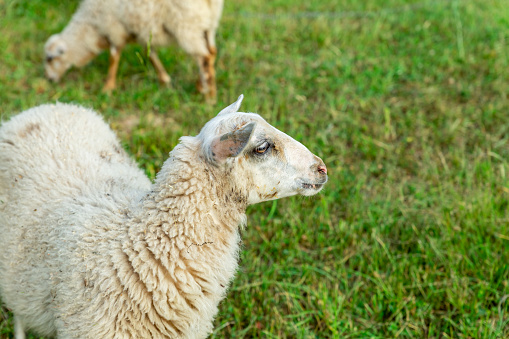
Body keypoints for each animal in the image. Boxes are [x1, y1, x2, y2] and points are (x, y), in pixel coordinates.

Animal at [44, 0, 223, 103]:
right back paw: (202, 87)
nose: (49, 79)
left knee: (204, 57)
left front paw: (108, 87)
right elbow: (150, 54)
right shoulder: (141, 32)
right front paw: (164, 79)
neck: (91, 28)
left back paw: (210, 97)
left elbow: (114, 57)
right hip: (207, 24)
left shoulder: (114, 28)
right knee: (211, 53)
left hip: (186, 25)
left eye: (50, 58)